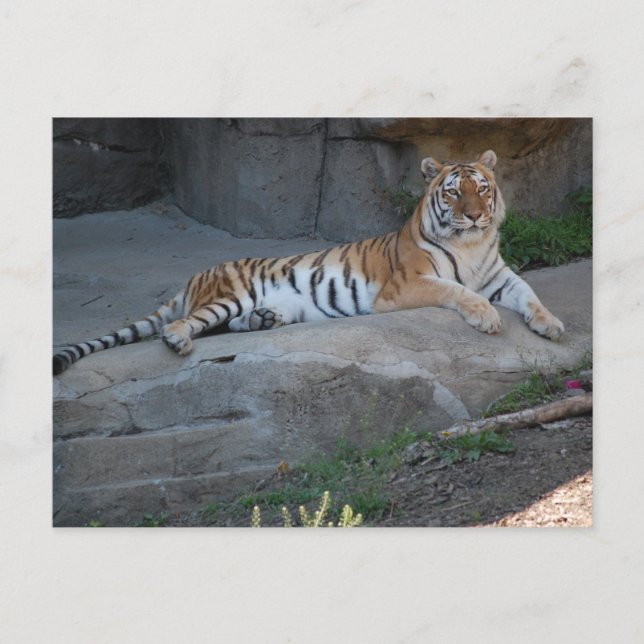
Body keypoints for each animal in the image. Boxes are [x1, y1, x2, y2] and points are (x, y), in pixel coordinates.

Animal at [52, 149, 564, 375]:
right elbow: (458, 291)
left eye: (482, 188)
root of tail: (196, 276)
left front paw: (552, 325)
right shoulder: (407, 285)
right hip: (226, 296)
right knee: (187, 324)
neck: (472, 245)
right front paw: (487, 318)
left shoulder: (501, 277)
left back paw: (264, 320)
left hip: (262, 305)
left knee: (230, 325)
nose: (475, 215)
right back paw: (180, 340)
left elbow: (531, 294)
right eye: (455, 193)